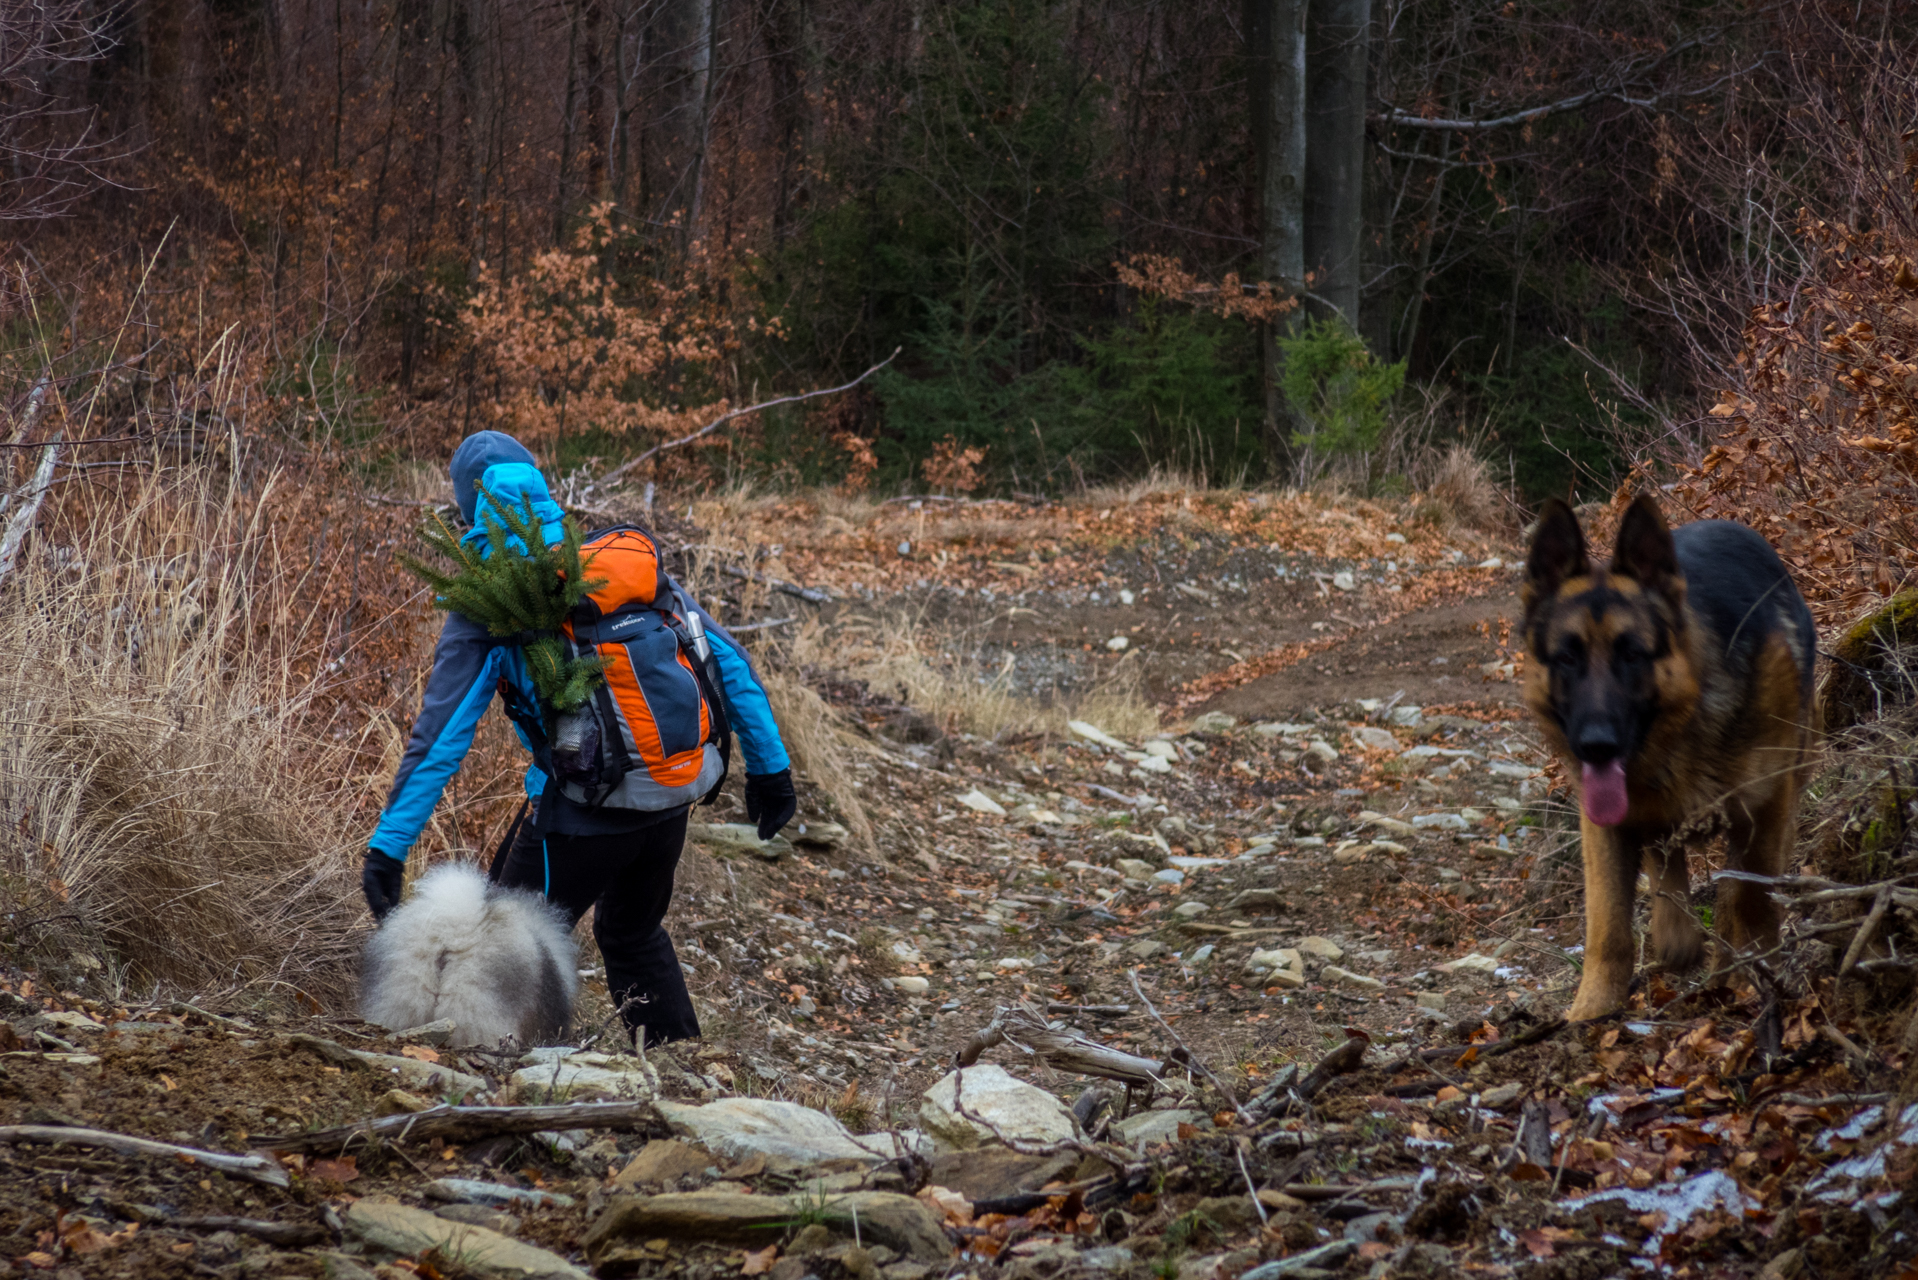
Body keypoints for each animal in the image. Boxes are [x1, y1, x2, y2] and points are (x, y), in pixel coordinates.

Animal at [1519, 495, 1818, 1020]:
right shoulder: (1604, 826)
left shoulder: (1766, 805)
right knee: (1665, 858)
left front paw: (1755, 982)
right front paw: (1591, 1013)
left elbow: (1752, 902)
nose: (1596, 745)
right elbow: (1607, 926)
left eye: (1633, 654)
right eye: (1567, 658)